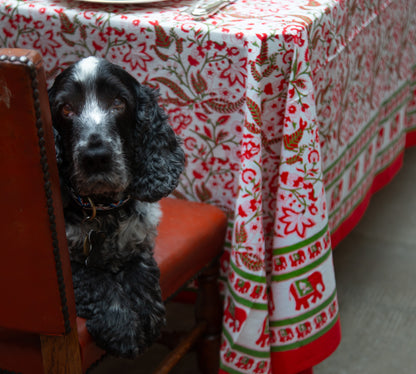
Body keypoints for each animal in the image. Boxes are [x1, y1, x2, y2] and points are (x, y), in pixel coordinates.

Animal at [47, 57, 185, 358]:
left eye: (119, 102)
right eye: (66, 108)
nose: (96, 157)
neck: (103, 208)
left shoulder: (141, 241)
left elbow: (143, 272)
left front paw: (147, 314)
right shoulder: (61, 267)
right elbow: (94, 280)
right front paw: (121, 326)